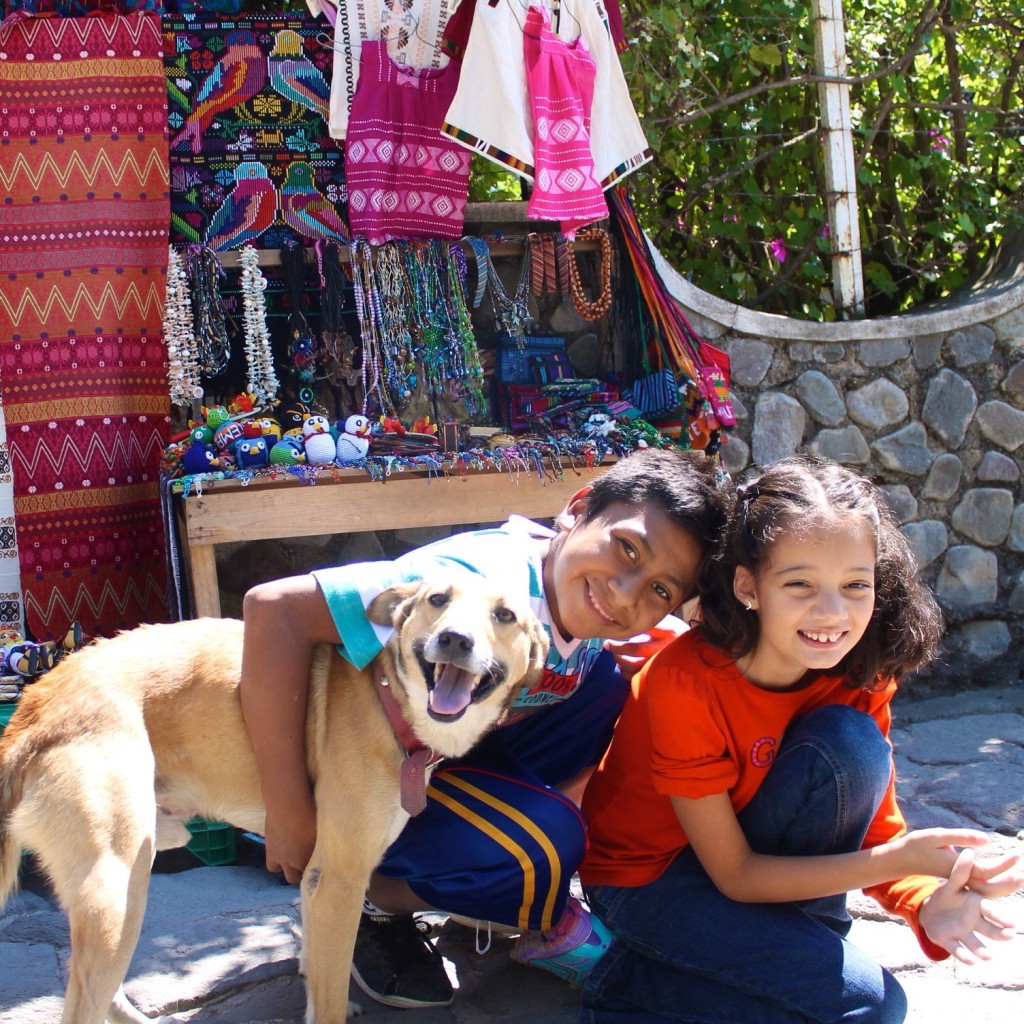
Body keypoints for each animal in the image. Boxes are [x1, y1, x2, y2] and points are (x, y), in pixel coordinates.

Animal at [0, 577, 552, 1024]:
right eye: (438, 599)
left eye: (505, 615)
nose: (455, 640)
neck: (388, 697)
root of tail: (35, 704)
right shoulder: (337, 880)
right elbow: (328, 998)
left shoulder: (314, 878)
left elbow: (313, 962)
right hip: (118, 886)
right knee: (82, 1002)